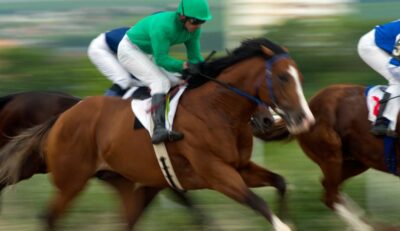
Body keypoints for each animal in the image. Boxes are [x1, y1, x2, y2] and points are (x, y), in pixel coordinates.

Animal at [0, 38, 314, 231]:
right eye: (283, 78)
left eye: (300, 77)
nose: (304, 119)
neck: (216, 110)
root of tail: (64, 116)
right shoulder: (215, 173)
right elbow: (257, 203)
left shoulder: (240, 167)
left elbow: (281, 182)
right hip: (70, 181)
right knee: (49, 216)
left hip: (124, 183)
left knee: (126, 221)